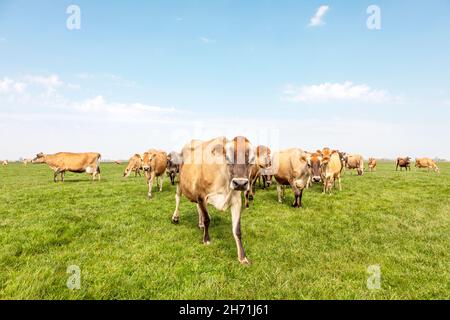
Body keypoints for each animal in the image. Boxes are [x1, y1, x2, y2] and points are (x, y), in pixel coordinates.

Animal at [171, 136, 256, 264]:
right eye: (227, 158)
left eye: (251, 159)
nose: (240, 183)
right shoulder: (201, 195)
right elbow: (207, 219)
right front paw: (206, 239)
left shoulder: (236, 200)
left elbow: (237, 230)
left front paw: (243, 257)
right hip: (180, 181)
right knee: (178, 198)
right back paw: (175, 217)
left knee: (197, 207)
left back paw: (200, 224)